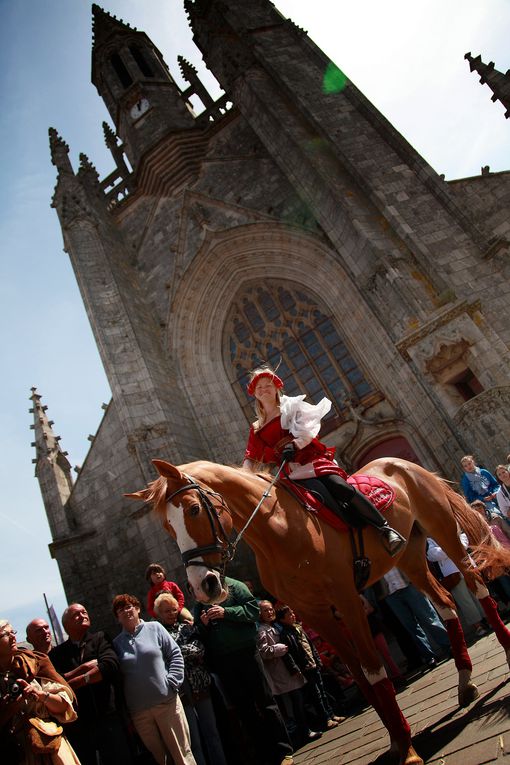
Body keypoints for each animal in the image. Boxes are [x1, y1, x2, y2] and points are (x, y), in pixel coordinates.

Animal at [128, 460, 510, 764]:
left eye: (193, 509)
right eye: (167, 527)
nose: (202, 585)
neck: (279, 529)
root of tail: (401, 462)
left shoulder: (348, 599)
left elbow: (374, 671)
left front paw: (408, 750)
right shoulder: (312, 614)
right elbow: (359, 676)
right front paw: (396, 742)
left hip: (443, 531)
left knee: (477, 588)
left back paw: (502, 647)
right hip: (411, 555)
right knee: (445, 605)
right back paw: (464, 681)